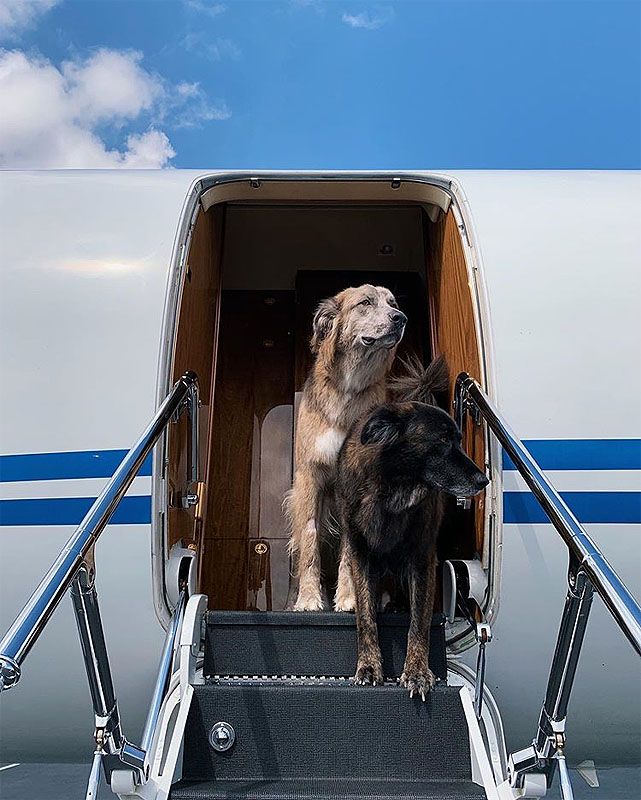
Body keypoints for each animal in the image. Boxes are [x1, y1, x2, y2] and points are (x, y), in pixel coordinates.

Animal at [288, 284, 404, 608]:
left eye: (392, 303)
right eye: (365, 302)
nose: (401, 318)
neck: (349, 389)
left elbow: (350, 551)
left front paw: (350, 597)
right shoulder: (309, 475)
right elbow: (309, 535)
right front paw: (308, 598)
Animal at [336, 360, 484, 696]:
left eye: (459, 439)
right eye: (442, 440)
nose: (483, 480)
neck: (391, 489)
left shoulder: (422, 559)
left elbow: (419, 622)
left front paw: (416, 671)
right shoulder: (360, 553)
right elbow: (366, 617)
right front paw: (369, 666)